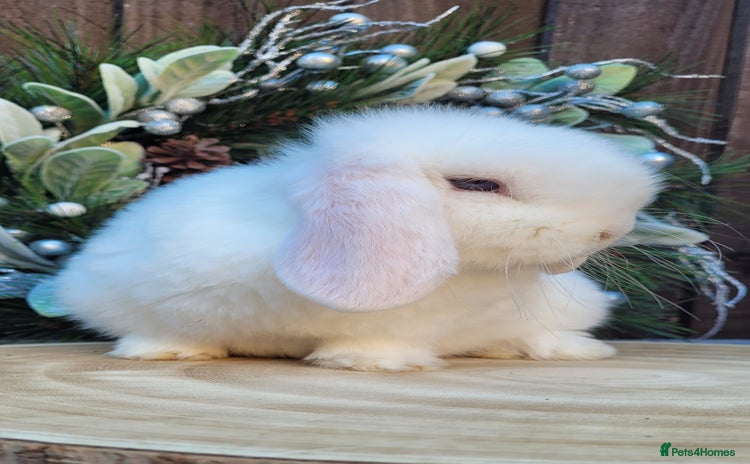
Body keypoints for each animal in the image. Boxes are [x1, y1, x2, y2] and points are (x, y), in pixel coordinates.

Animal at [54, 105, 661, 371]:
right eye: (478, 185)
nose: (613, 228)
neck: (465, 284)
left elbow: (535, 333)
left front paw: (577, 349)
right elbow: (371, 342)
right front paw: (374, 362)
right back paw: (166, 350)